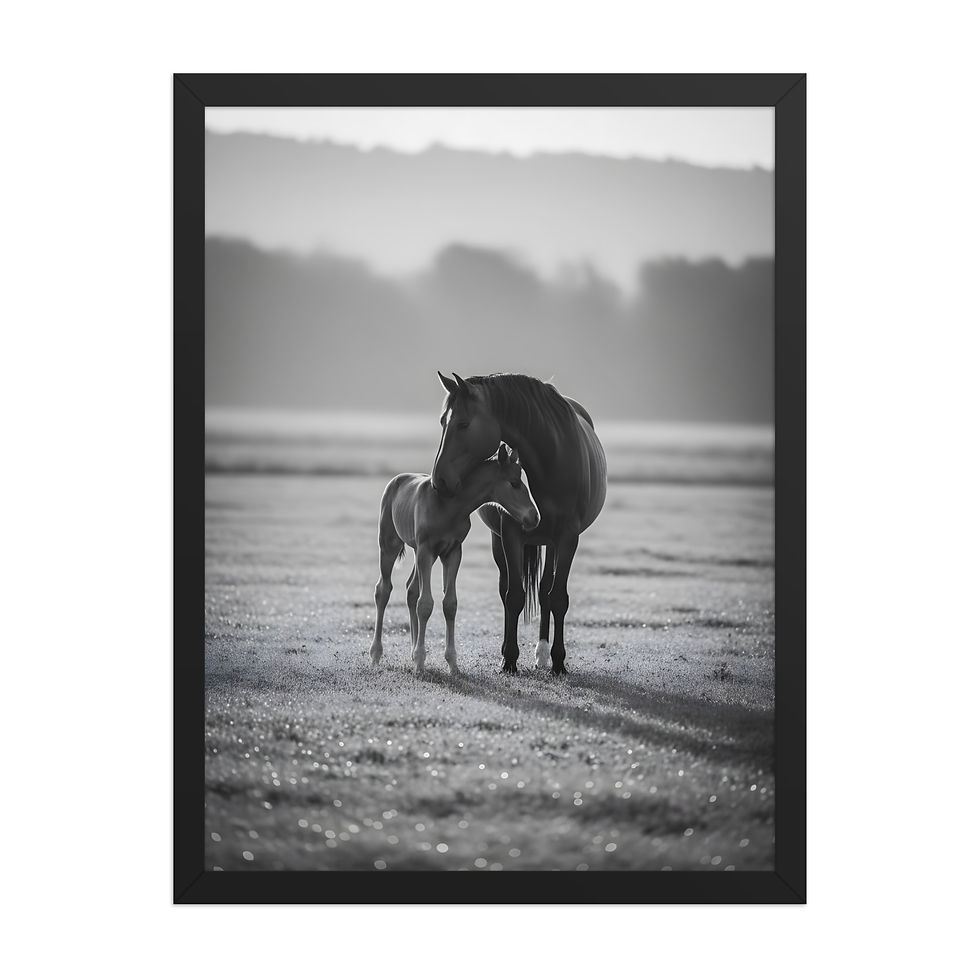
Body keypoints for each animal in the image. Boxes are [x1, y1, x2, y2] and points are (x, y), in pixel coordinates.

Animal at [370, 444, 539, 676]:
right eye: (514, 483)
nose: (534, 517)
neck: (449, 505)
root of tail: (397, 479)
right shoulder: (426, 550)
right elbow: (425, 604)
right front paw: (421, 663)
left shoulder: (453, 552)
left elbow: (449, 604)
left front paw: (451, 663)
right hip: (390, 545)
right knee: (383, 590)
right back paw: (376, 655)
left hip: (420, 553)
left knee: (411, 589)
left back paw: (412, 652)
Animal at [431, 372, 607, 676]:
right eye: (443, 421)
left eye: (463, 424)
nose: (438, 480)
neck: (552, 459)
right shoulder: (511, 533)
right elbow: (514, 596)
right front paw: (509, 659)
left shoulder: (568, 537)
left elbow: (558, 598)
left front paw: (559, 661)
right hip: (499, 542)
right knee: (507, 591)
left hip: (551, 542)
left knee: (547, 592)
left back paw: (543, 654)